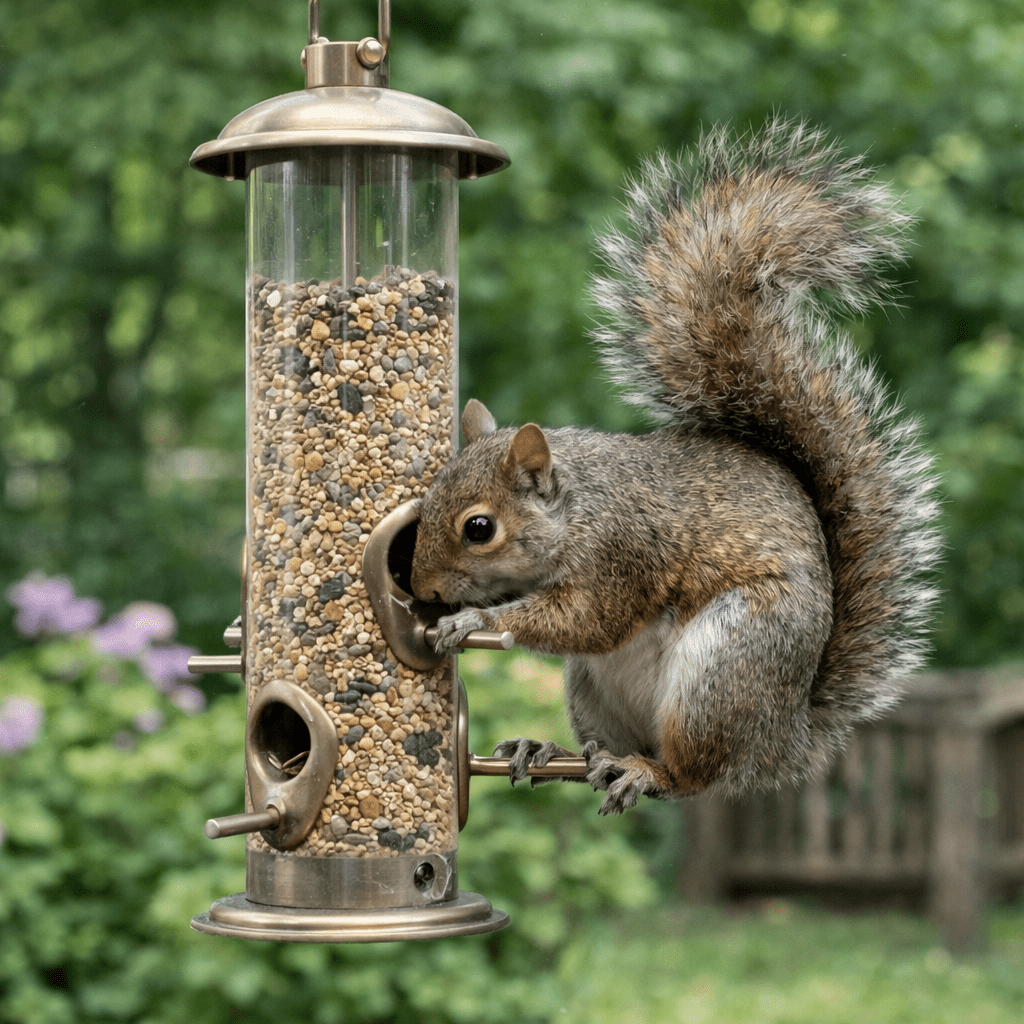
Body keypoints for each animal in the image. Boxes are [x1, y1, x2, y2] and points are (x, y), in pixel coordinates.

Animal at [408, 120, 941, 815]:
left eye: (479, 529)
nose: (423, 591)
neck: (579, 507)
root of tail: (782, 738)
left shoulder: (621, 556)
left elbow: (585, 619)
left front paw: (474, 620)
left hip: (722, 666)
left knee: (691, 775)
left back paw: (645, 772)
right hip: (594, 691)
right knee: (596, 755)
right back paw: (546, 749)